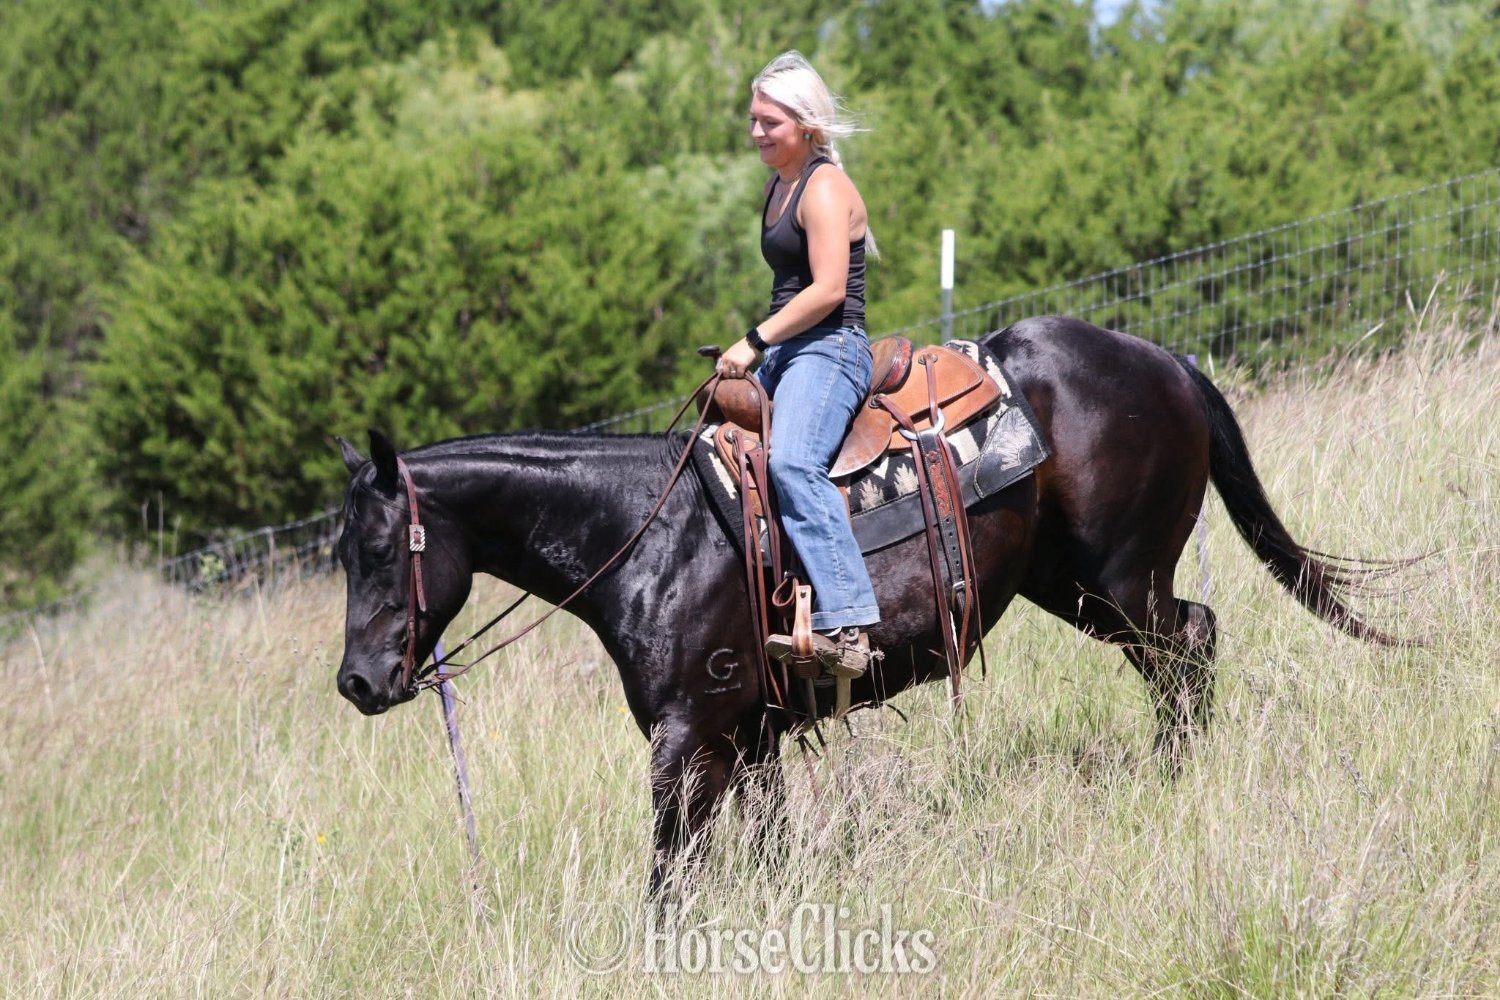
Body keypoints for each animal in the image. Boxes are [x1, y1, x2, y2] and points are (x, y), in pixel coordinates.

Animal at [333, 315, 1398, 893]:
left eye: (381, 549)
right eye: (340, 553)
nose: (358, 683)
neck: (652, 530)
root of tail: (1160, 357)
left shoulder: (688, 737)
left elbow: (669, 873)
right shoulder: (751, 735)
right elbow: (762, 850)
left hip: (1124, 576)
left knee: (1185, 650)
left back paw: (1178, 780)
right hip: (1074, 585)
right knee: (1188, 645)